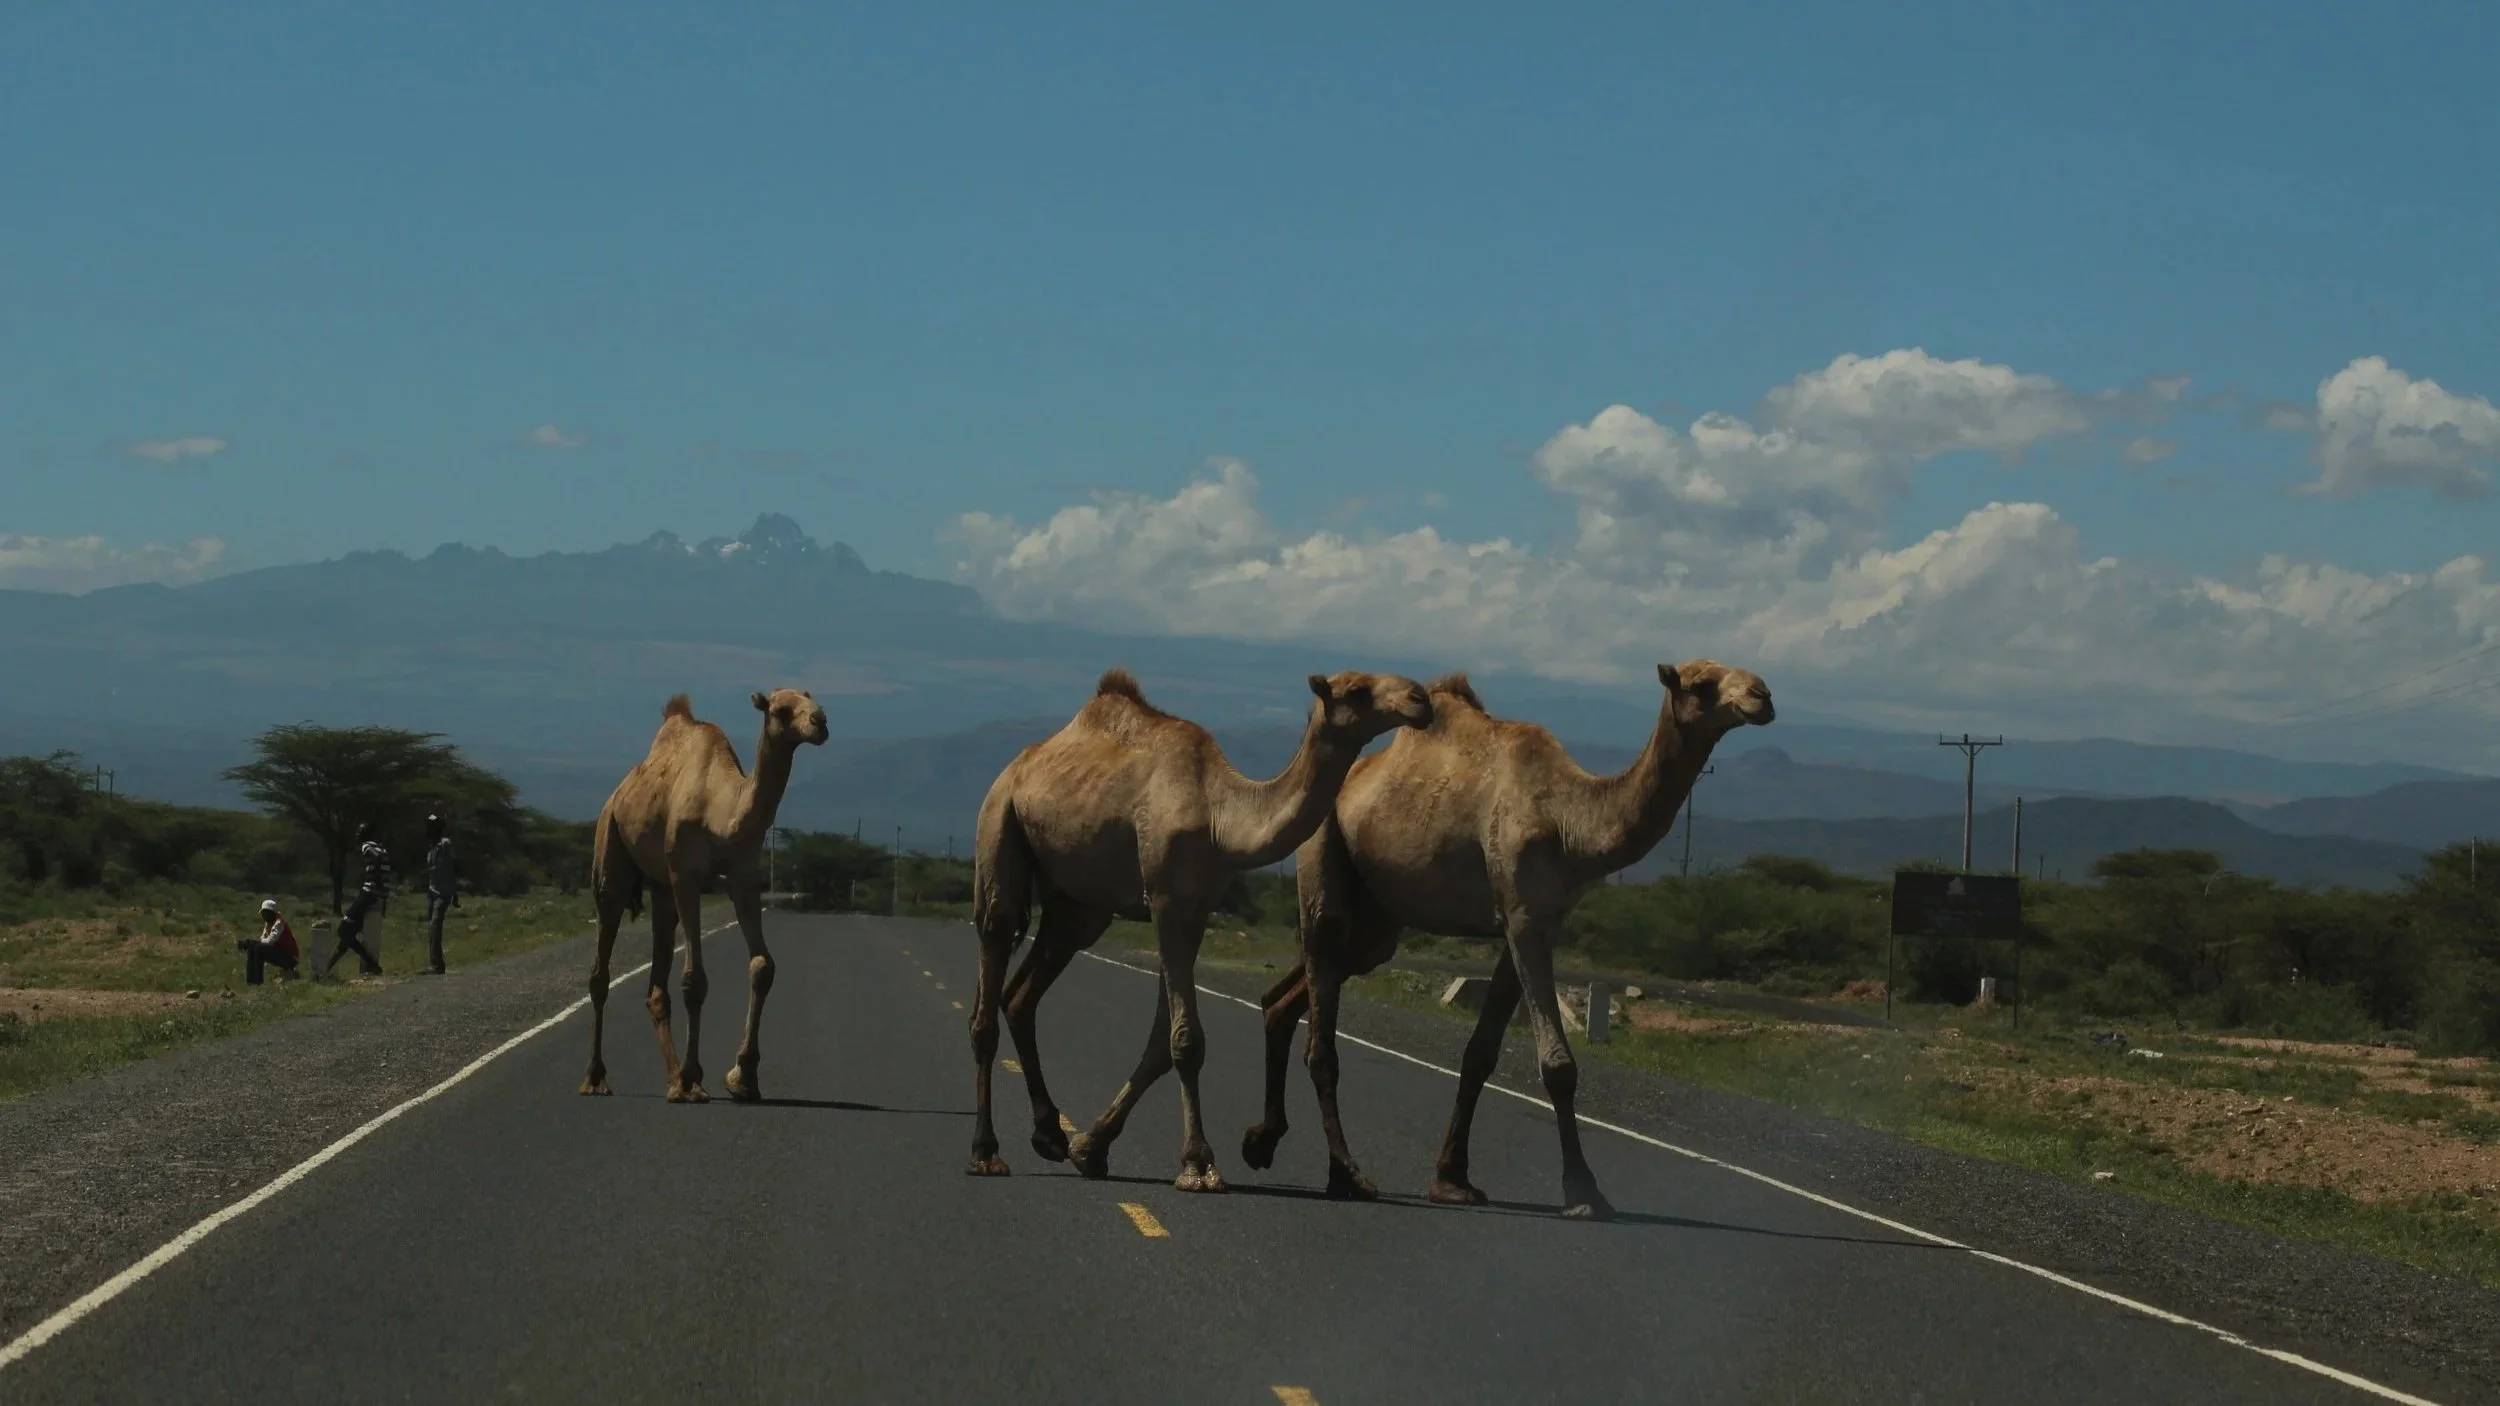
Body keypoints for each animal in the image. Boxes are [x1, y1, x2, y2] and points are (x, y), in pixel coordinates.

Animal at [579, 688, 828, 1103]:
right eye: (780, 709)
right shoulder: (686, 876)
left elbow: (763, 966)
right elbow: (695, 980)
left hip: (661, 886)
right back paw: (597, 1079)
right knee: (601, 964)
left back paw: (672, 1078)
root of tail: (618, 793)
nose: (820, 722)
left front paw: (742, 1077)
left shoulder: (743, 877)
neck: (721, 815)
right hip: (609, 843)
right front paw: (696, 1078)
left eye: (812, 700)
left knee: (656, 983)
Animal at [966, 666, 1433, 1192]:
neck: (1221, 817)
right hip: (998, 822)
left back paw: (1049, 1135)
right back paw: (986, 1153)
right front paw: (1198, 1164)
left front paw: (1090, 1149)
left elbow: (1160, 1042)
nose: (1420, 698)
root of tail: (1017, 767)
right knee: (992, 959)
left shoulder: (1194, 908)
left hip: (1079, 904)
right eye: (1356, 691)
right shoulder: (1167, 900)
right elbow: (1186, 1040)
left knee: (1021, 994)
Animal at [1233, 660, 1774, 1219]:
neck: (1569, 821)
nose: (1763, 696)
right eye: (1702, 684)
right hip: (1323, 851)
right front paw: (1584, 1191)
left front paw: (1452, 1179)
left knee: (1289, 996)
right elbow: (1557, 1065)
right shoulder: (1522, 916)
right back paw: (1344, 1175)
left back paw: (1261, 1140)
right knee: (1321, 1015)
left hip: (1377, 922)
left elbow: (1481, 1053)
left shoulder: (1535, 922)